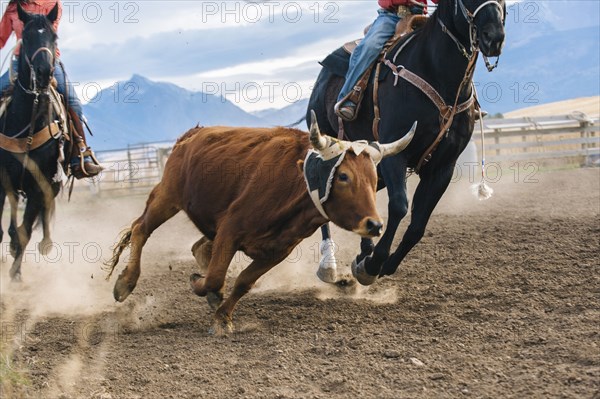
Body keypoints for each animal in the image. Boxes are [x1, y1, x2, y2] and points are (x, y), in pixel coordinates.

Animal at [310, 0, 506, 288]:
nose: (494, 38)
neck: (436, 73)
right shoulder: (394, 155)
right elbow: (400, 206)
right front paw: (372, 264)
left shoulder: (443, 168)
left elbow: (417, 226)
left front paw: (381, 263)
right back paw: (329, 265)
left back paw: (362, 252)